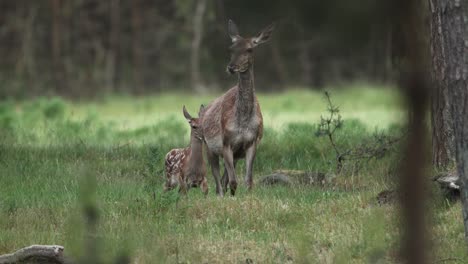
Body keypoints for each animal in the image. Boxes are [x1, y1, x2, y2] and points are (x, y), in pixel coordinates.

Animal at [201, 19, 274, 196]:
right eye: (231, 49)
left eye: (250, 49)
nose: (231, 67)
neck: (243, 122)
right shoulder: (226, 142)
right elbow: (233, 182)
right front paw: (232, 198)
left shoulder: (251, 142)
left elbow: (248, 180)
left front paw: (247, 196)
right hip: (208, 147)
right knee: (218, 182)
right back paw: (221, 196)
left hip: (234, 154)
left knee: (223, 180)